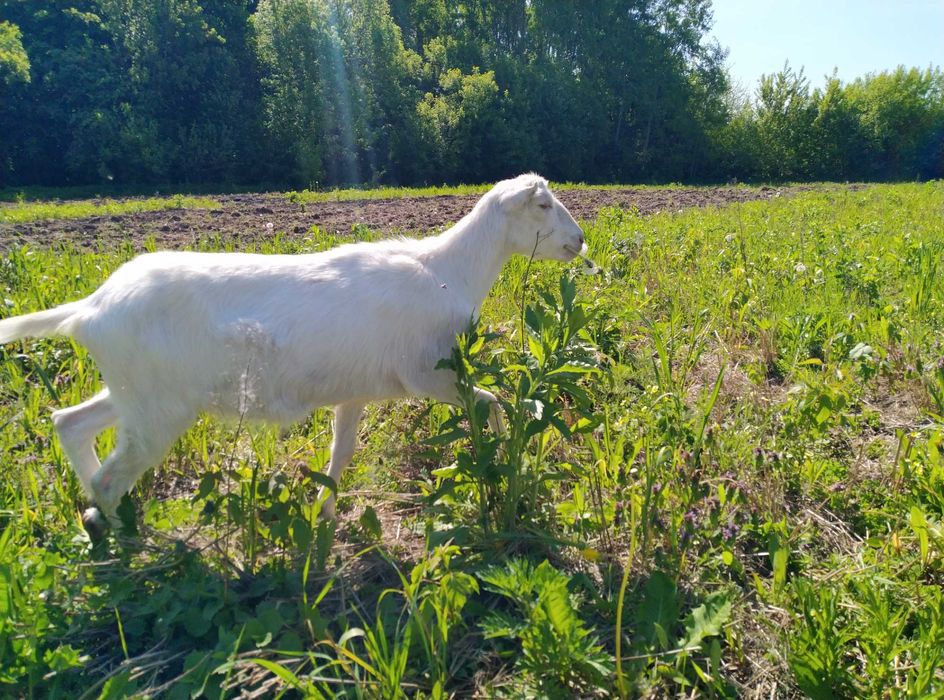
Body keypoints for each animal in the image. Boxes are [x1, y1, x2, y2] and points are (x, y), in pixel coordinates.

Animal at [0, 174, 585, 538]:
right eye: (542, 205)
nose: (579, 241)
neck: (447, 270)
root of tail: (90, 308)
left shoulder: (356, 389)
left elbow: (341, 453)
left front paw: (325, 514)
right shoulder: (430, 375)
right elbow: (495, 404)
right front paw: (505, 467)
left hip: (136, 394)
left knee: (70, 422)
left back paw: (97, 518)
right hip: (157, 410)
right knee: (108, 474)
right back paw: (120, 535)